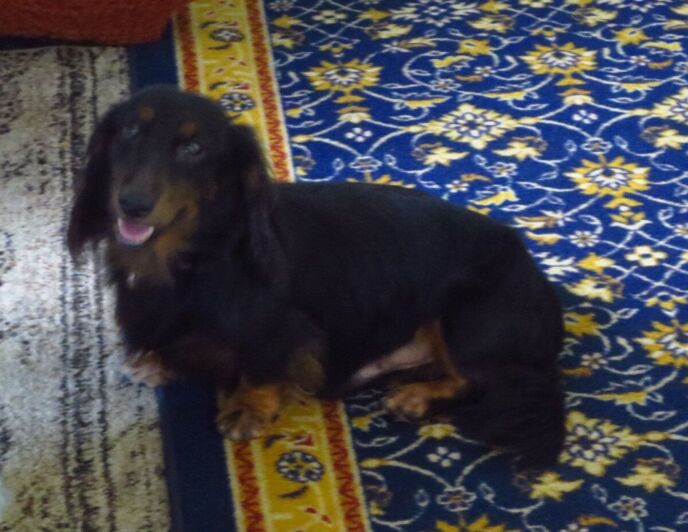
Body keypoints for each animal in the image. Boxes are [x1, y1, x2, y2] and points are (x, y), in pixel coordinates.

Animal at [68, 85, 566, 468]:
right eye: (130, 131)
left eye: (194, 149)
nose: (132, 204)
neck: (195, 258)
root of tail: (543, 287)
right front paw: (160, 361)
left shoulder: (282, 330)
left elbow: (260, 366)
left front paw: (248, 407)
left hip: (466, 317)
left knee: (479, 381)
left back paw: (418, 397)